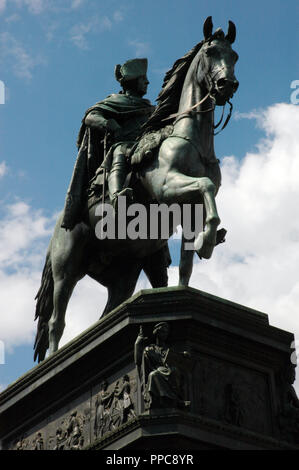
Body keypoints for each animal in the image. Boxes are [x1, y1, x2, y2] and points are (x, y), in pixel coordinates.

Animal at [33, 16, 239, 362]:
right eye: (211, 52)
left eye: (234, 56)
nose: (227, 85)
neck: (192, 141)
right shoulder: (169, 187)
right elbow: (206, 185)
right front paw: (208, 238)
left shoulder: (189, 209)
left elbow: (187, 263)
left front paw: (207, 242)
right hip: (67, 267)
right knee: (55, 322)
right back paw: (54, 360)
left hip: (124, 273)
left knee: (107, 312)